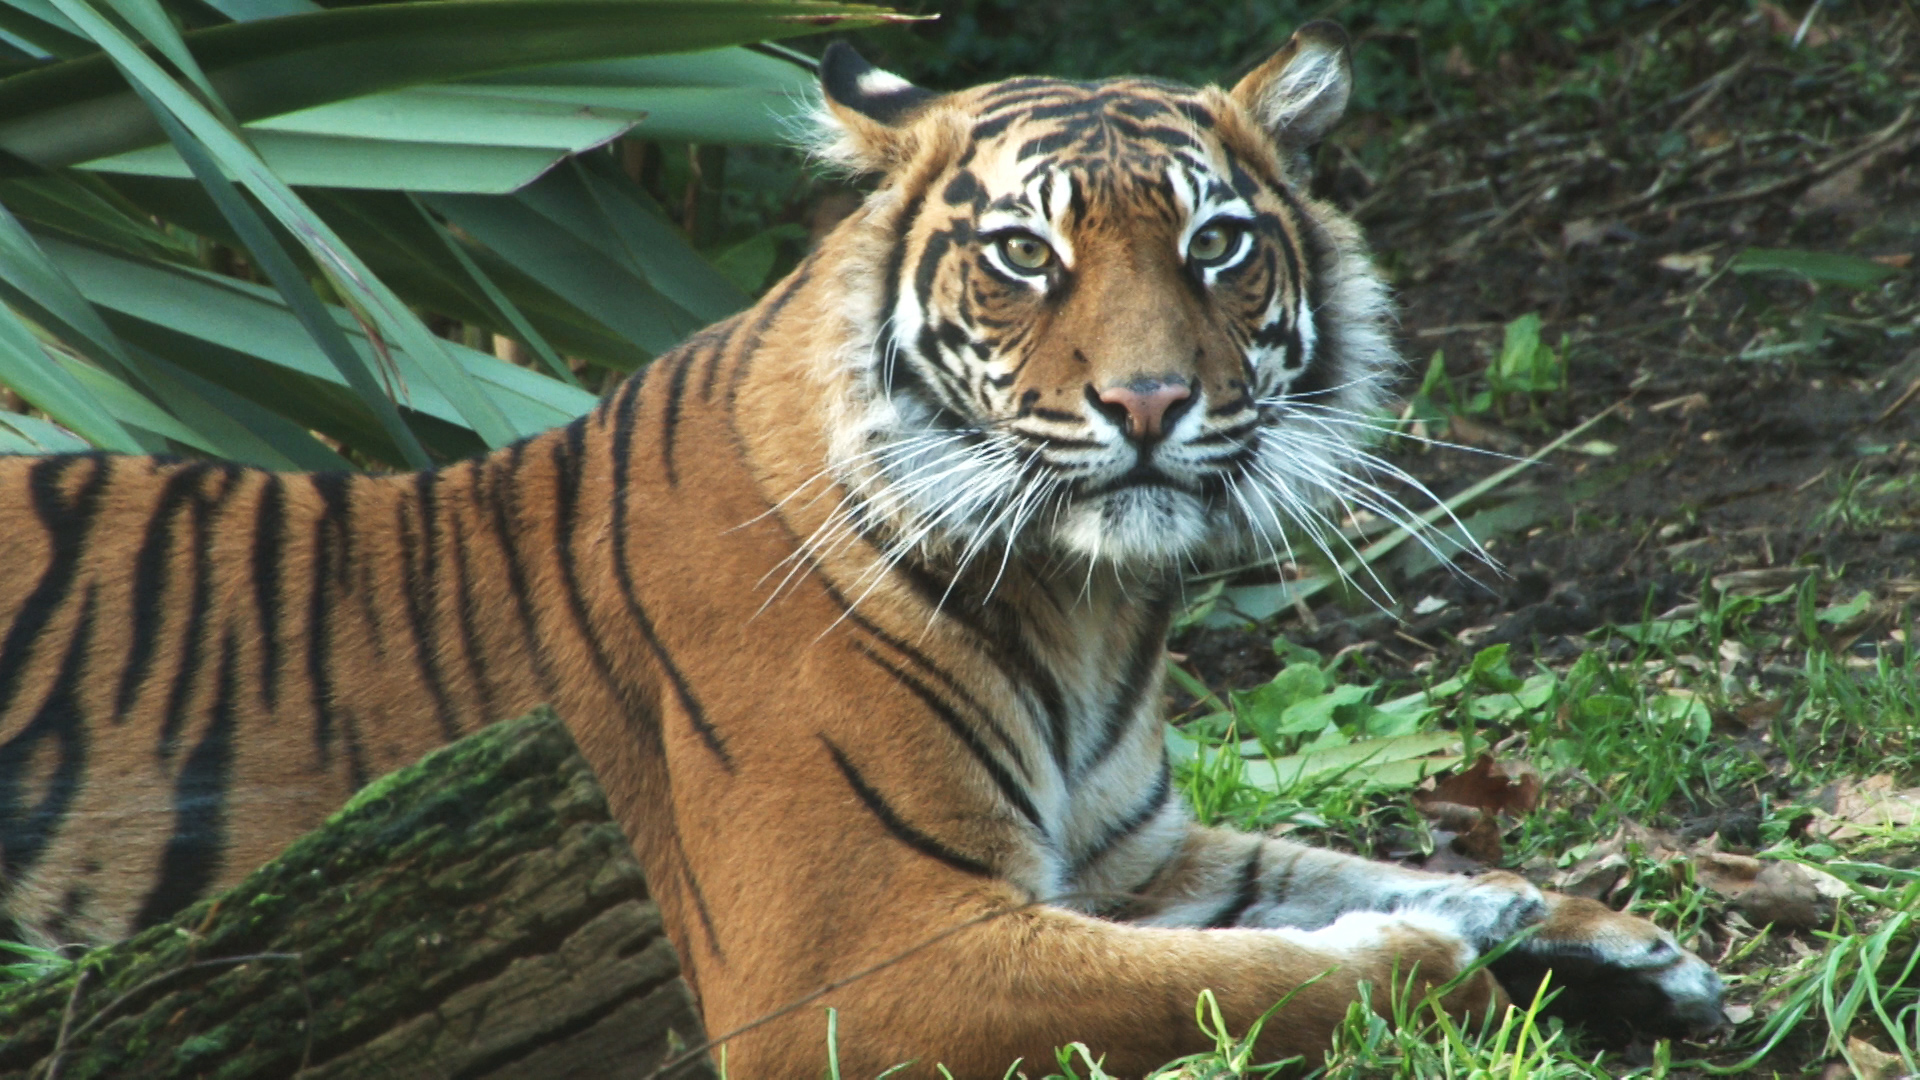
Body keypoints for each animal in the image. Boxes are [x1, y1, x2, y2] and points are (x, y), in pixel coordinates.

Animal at [0, 23, 1726, 1075]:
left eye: (1217, 243)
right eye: (1024, 255)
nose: (1150, 403)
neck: (1088, 604)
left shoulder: (1130, 854)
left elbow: (1367, 866)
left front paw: (1605, 944)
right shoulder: (854, 960)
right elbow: (1274, 972)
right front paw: (1454, 962)